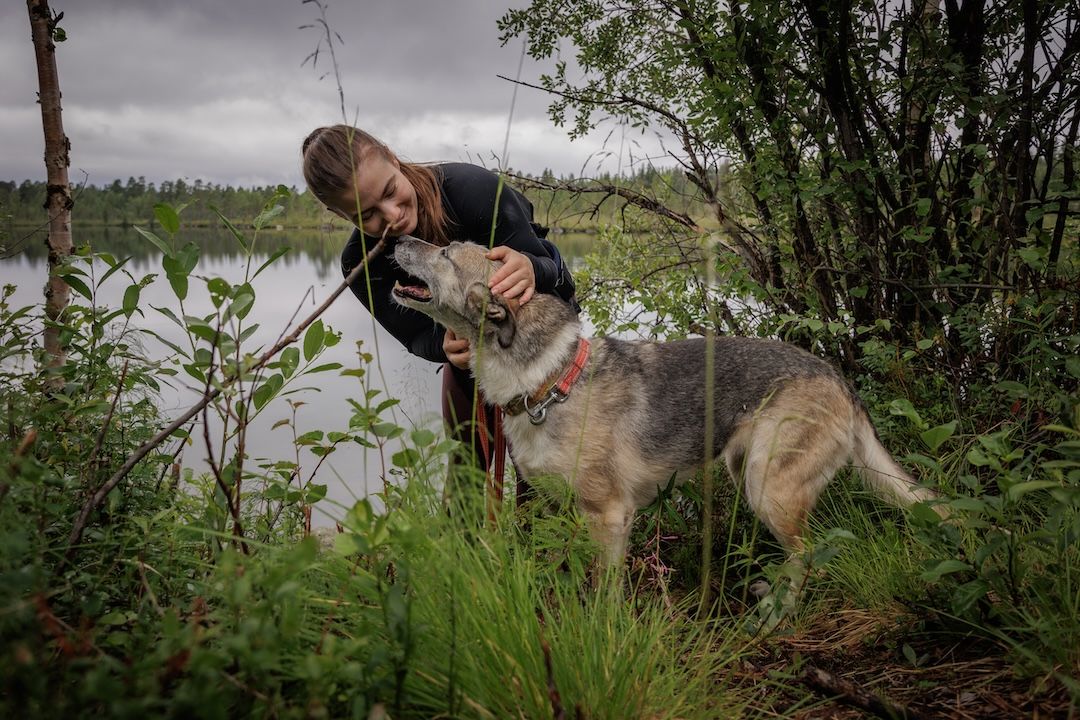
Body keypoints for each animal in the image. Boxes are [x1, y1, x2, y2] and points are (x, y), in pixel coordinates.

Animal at [390, 236, 937, 569]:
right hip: (745, 469)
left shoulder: (609, 518)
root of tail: (840, 380)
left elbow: (603, 595)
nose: (397, 240)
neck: (550, 380)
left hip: (770, 488)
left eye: (445, 252)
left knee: (808, 559)